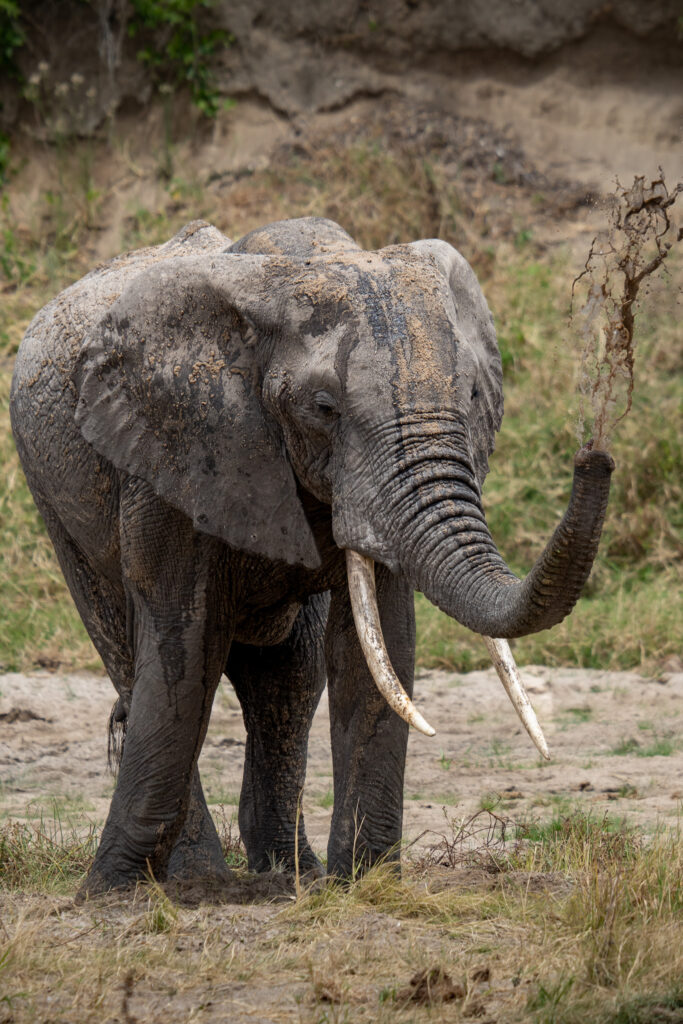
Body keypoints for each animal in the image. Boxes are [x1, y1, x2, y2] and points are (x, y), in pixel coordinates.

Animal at [10, 217, 614, 894]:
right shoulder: (176, 452)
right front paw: (116, 894)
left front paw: (366, 887)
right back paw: (203, 877)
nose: (594, 455)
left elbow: (379, 649)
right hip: (53, 498)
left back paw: (287, 876)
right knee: (129, 652)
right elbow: (181, 650)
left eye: (475, 393)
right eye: (324, 408)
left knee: (288, 680)